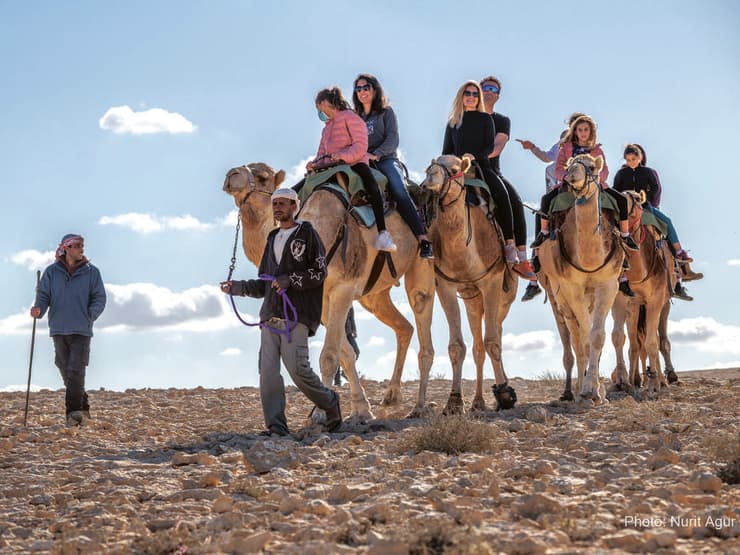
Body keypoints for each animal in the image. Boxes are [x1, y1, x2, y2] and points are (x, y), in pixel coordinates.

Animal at [223, 163, 436, 420]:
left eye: (263, 177)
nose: (232, 175)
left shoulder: (343, 288)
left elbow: (329, 356)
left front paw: (321, 413)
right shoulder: (323, 300)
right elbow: (346, 353)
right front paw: (361, 409)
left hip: (421, 264)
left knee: (422, 319)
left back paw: (420, 406)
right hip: (373, 296)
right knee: (404, 327)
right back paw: (392, 396)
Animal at [420, 155, 516, 412]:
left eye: (454, 169)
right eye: (430, 166)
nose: (429, 178)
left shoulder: (492, 281)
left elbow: (493, 342)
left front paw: (505, 394)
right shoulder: (445, 286)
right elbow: (457, 346)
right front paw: (454, 401)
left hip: (505, 297)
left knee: (496, 333)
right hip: (471, 296)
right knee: (478, 346)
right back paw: (478, 401)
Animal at [536, 154, 624, 402]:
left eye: (592, 167)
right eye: (568, 166)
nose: (571, 178)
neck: (589, 259)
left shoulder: (608, 284)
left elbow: (596, 335)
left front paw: (597, 390)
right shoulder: (571, 287)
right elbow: (584, 336)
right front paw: (586, 389)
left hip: (591, 294)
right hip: (557, 295)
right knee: (573, 336)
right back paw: (574, 390)